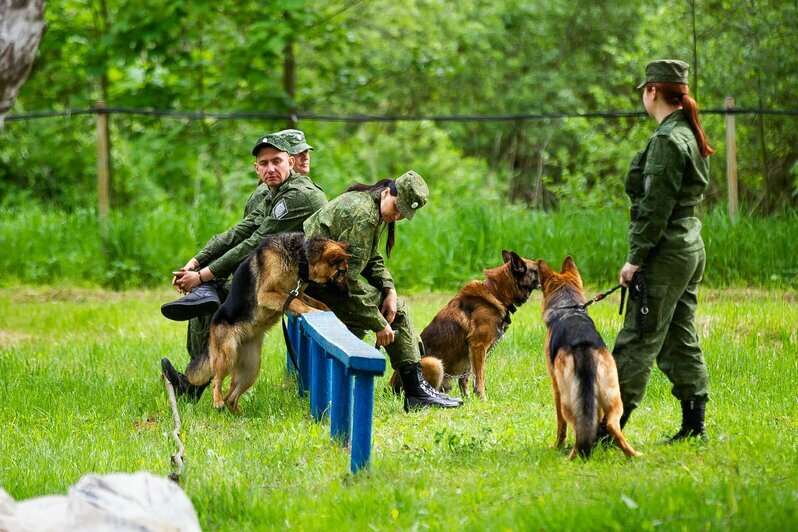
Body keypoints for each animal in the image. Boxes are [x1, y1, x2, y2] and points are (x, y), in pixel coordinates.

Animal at [188, 234, 354, 416]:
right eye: (342, 271)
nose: (349, 295)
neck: (301, 256)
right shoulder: (267, 294)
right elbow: (294, 302)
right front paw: (310, 310)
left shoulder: (299, 293)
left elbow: (319, 303)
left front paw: (331, 314)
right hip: (227, 354)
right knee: (216, 381)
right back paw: (217, 401)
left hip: (251, 368)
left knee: (231, 397)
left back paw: (238, 415)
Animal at [390, 251, 540, 396]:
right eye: (537, 269)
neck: (495, 293)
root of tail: (390, 389)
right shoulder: (478, 346)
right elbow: (480, 377)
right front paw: (482, 398)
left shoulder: (470, 354)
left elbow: (466, 379)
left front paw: (468, 398)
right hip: (433, 362)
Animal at [536, 256, 644, 460]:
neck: (568, 307)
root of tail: (582, 344)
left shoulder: (556, 388)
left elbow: (561, 427)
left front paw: (557, 446)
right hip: (613, 396)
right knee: (611, 425)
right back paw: (633, 454)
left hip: (569, 400)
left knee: (578, 427)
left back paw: (571, 458)